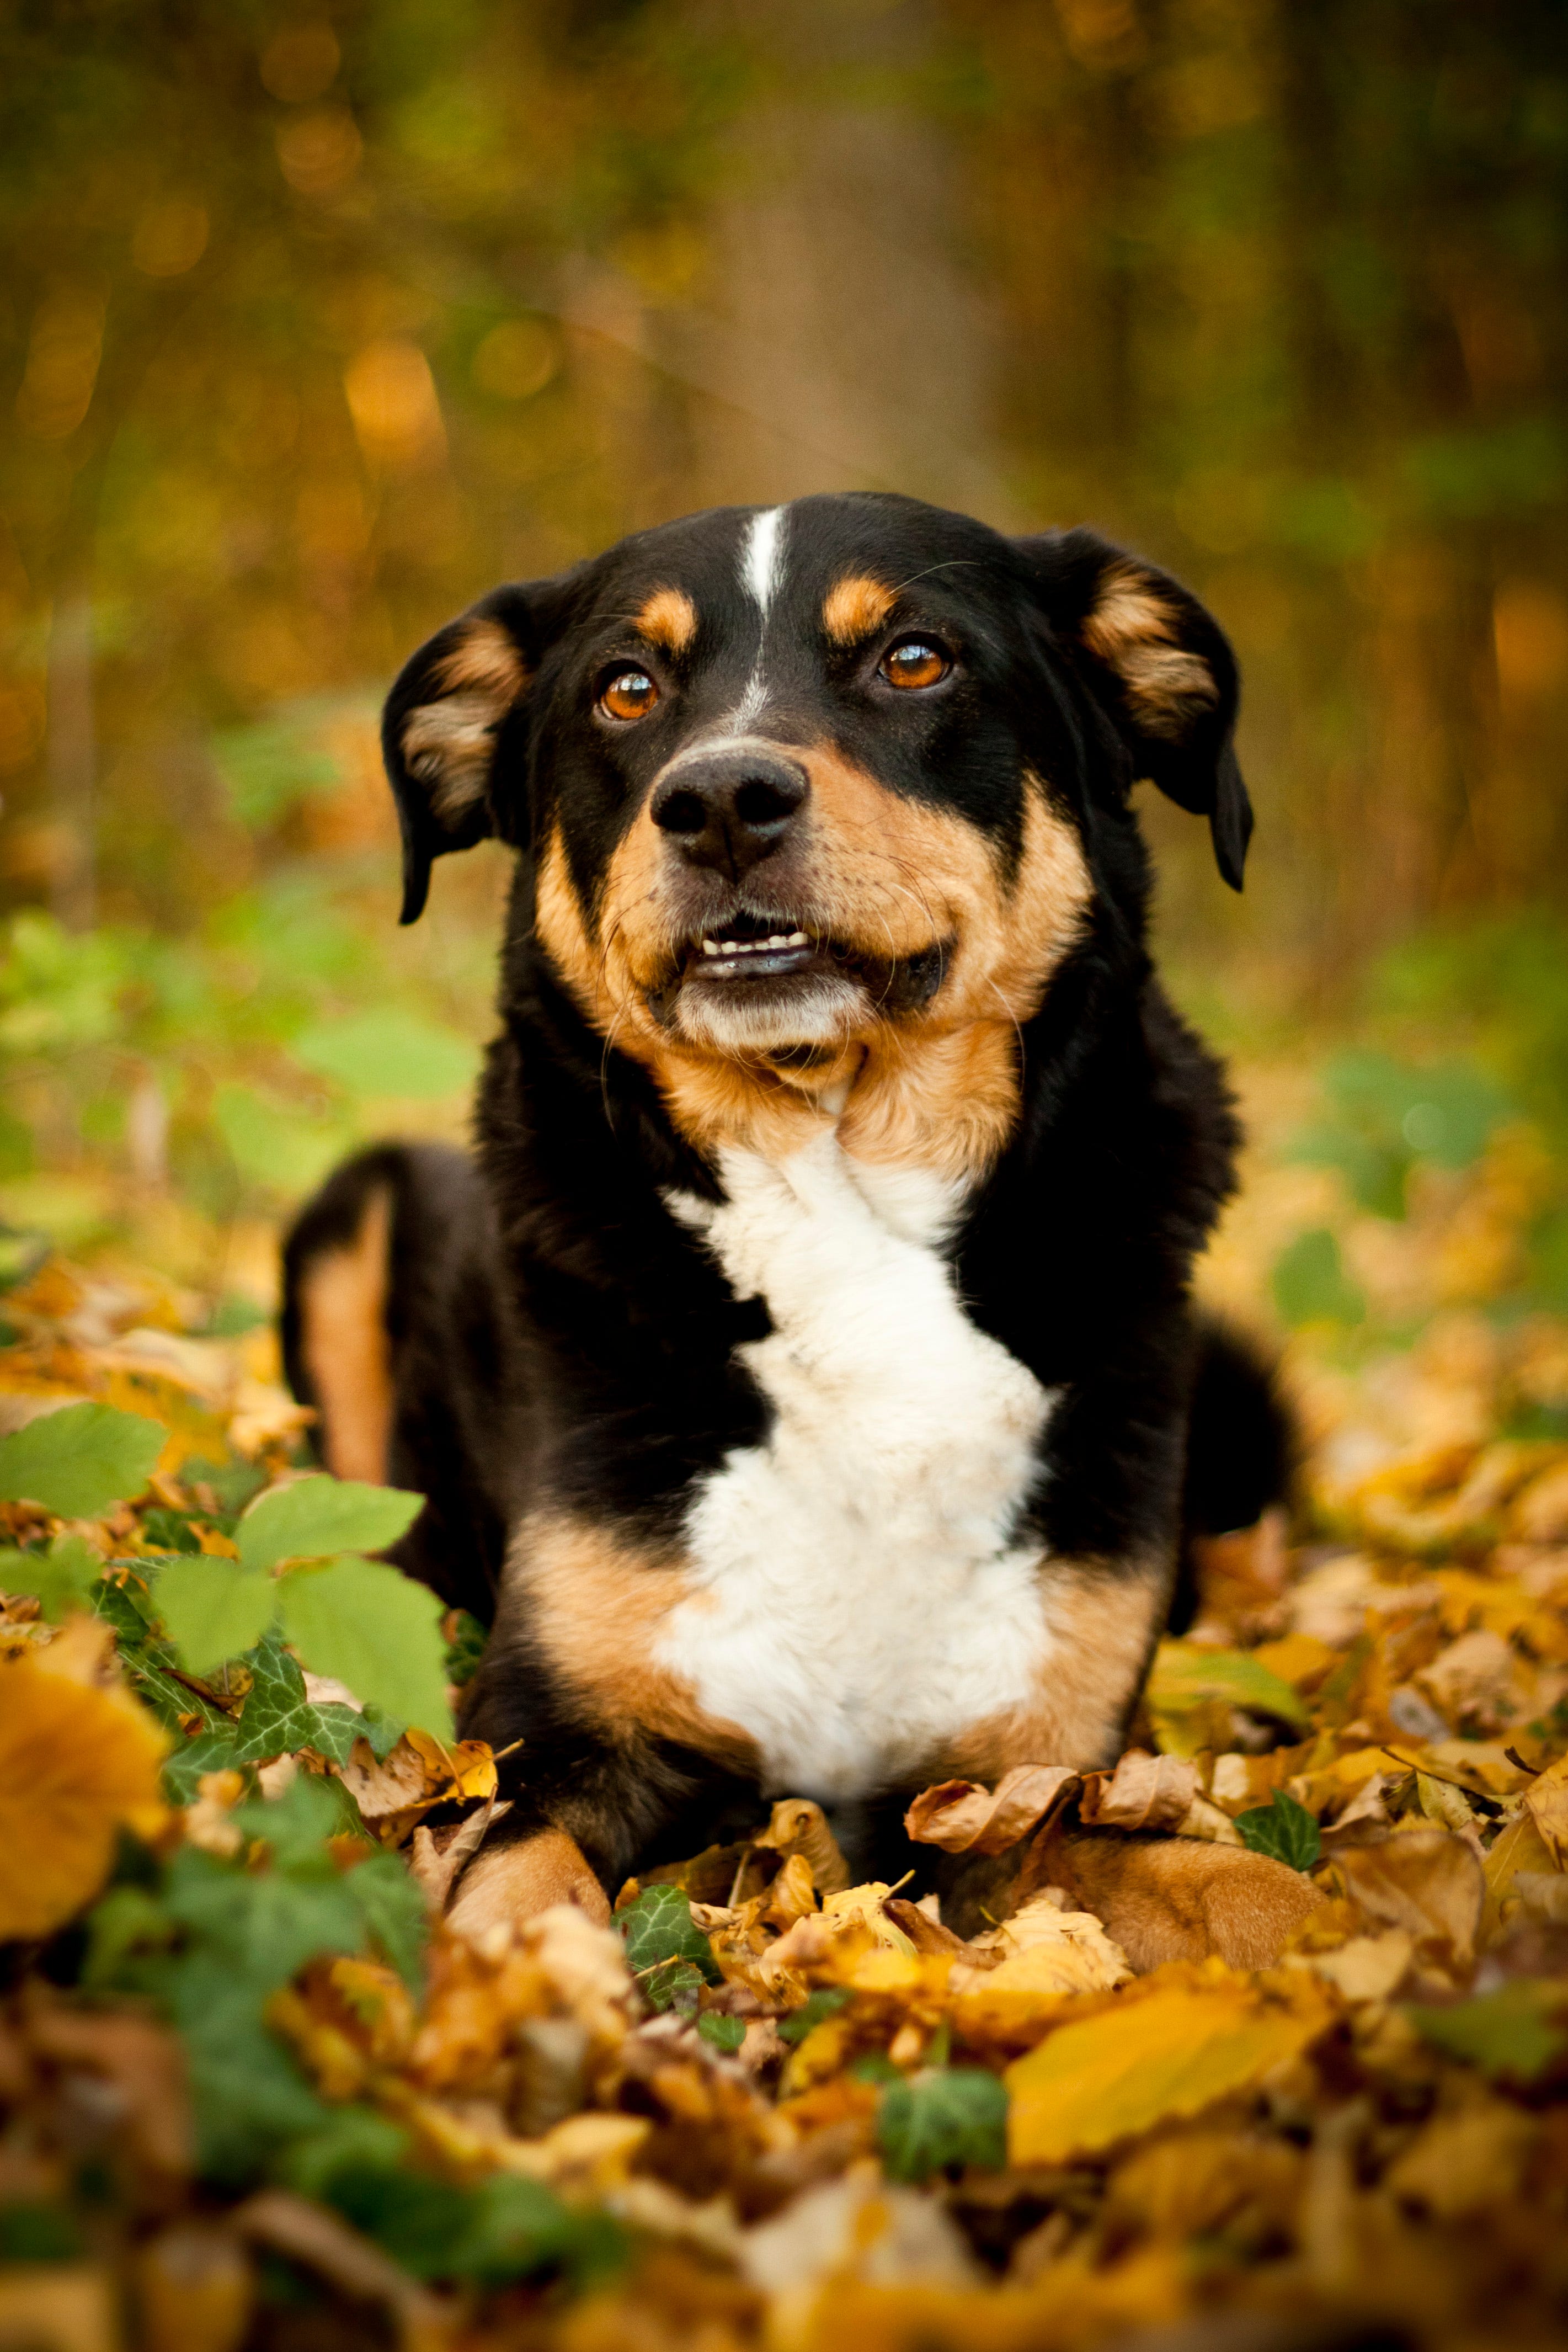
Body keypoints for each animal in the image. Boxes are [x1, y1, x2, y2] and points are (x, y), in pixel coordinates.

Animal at [282, 487, 1288, 1938]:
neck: (843, 1190)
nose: (719, 801)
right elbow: (528, 1899)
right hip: (353, 1215)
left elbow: (1239, 1885)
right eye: (627, 689)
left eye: (915, 659)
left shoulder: (1023, 1779)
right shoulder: (554, 1736)